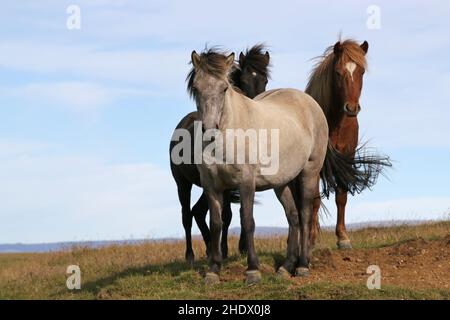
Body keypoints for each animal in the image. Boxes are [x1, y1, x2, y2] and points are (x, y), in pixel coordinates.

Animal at [168, 45, 268, 264]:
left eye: (265, 80)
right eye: (243, 80)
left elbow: (238, 213)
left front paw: (240, 249)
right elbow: (226, 215)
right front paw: (225, 250)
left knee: (198, 212)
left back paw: (208, 248)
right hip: (182, 184)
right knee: (187, 216)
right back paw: (191, 255)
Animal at [185, 49, 378, 284]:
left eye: (224, 88)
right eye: (196, 88)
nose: (209, 129)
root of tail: (311, 103)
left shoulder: (246, 182)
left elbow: (248, 222)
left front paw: (253, 270)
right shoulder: (212, 186)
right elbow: (216, 224)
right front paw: (213, 271)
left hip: (309, 174)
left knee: (305, 215)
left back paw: (302, 265)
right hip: (282, 182)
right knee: (293, 217)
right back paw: (286, 267)